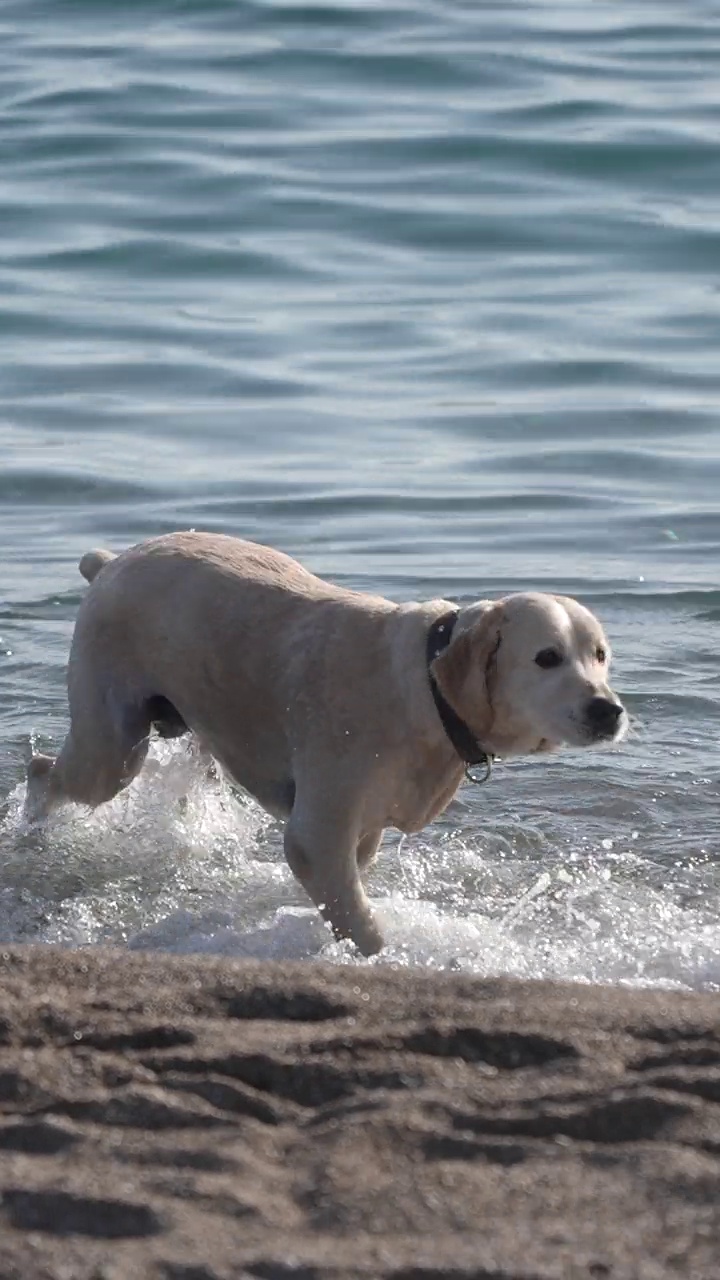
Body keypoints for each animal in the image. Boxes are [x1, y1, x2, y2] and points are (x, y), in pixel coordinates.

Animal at [25, 529, 625, 952]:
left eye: (599, 655)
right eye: (547, 657)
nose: (610, 710)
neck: (427, 688)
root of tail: (112, 562)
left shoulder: (364, 832)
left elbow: (349, 893)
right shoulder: (321, 830)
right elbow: (359, 919)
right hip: (111, 747)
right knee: (44, 770)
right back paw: (33, 834)